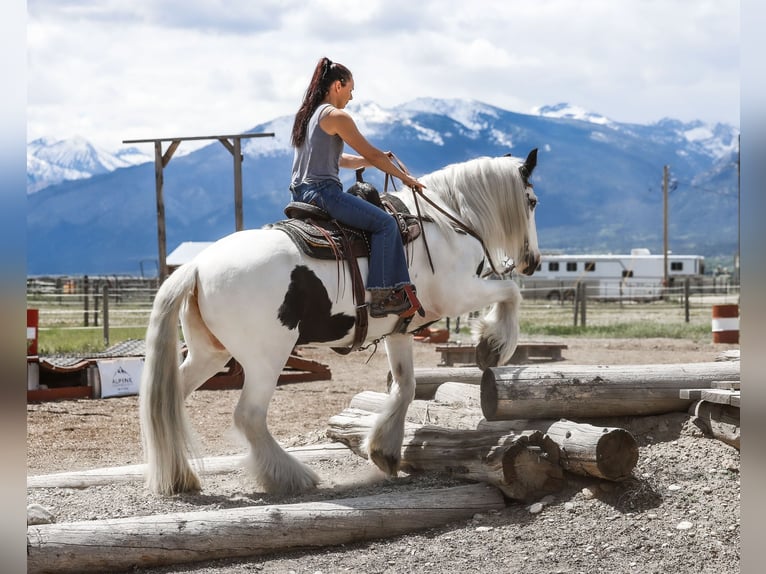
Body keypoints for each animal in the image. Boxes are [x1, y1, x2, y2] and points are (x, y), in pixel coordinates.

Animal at [141, 151, 544, 498]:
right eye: (533, 201)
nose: (534, 261)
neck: (447, 224)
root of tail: (197, 266)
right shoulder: (458, 295)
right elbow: (510, 293)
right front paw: (493, 345)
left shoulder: (400, 330)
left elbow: (405, 386)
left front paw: (385, 450)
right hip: (265, 358)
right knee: (249, 417)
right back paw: (289, 476)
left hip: (209, 353)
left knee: (171, 402)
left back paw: (181, 477)